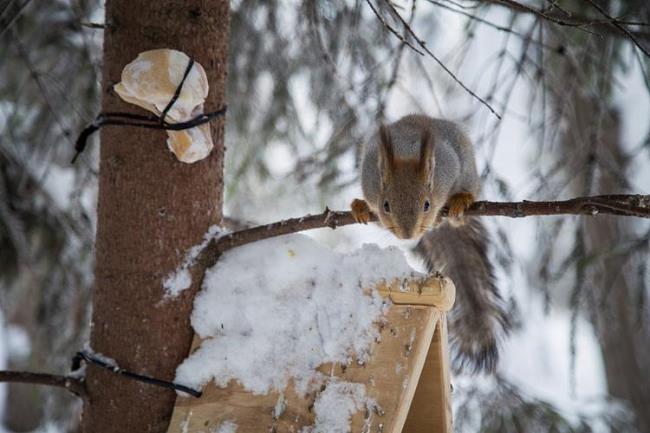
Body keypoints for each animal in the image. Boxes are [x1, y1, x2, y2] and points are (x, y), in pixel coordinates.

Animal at [352, 113, 508, 372]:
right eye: (386, 205)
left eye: (426, 204)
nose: (407, 234)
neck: (406, 151)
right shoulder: (370, 182)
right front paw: (360, 207)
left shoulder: (449, 168)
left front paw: (439, 216)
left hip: (467, 167)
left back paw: (459, 204)